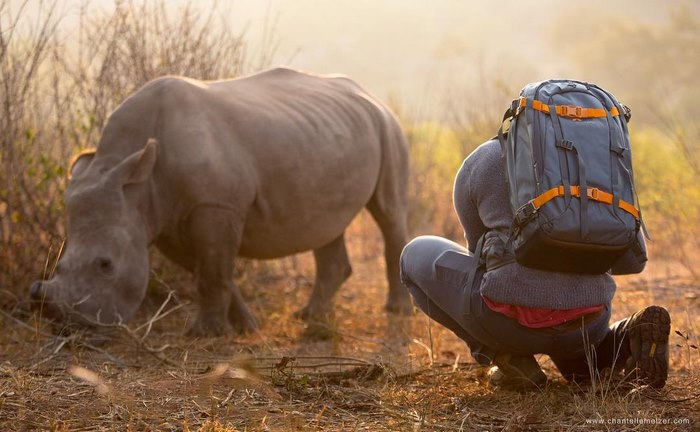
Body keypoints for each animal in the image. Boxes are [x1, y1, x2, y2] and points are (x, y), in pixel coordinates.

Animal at [30, 67, 411, 335]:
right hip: (332, 133)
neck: (136, 179)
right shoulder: (167, 217)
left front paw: (206, 333)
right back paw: (310, 314)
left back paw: (396, 310)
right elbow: (209, 270)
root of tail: (368, 93)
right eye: (59, 266)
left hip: (388, 126)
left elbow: (212, 271)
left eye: (105, 265)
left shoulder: (214, 205)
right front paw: (246, 326)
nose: (63, 321)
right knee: (326, 224)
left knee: (389, 212)